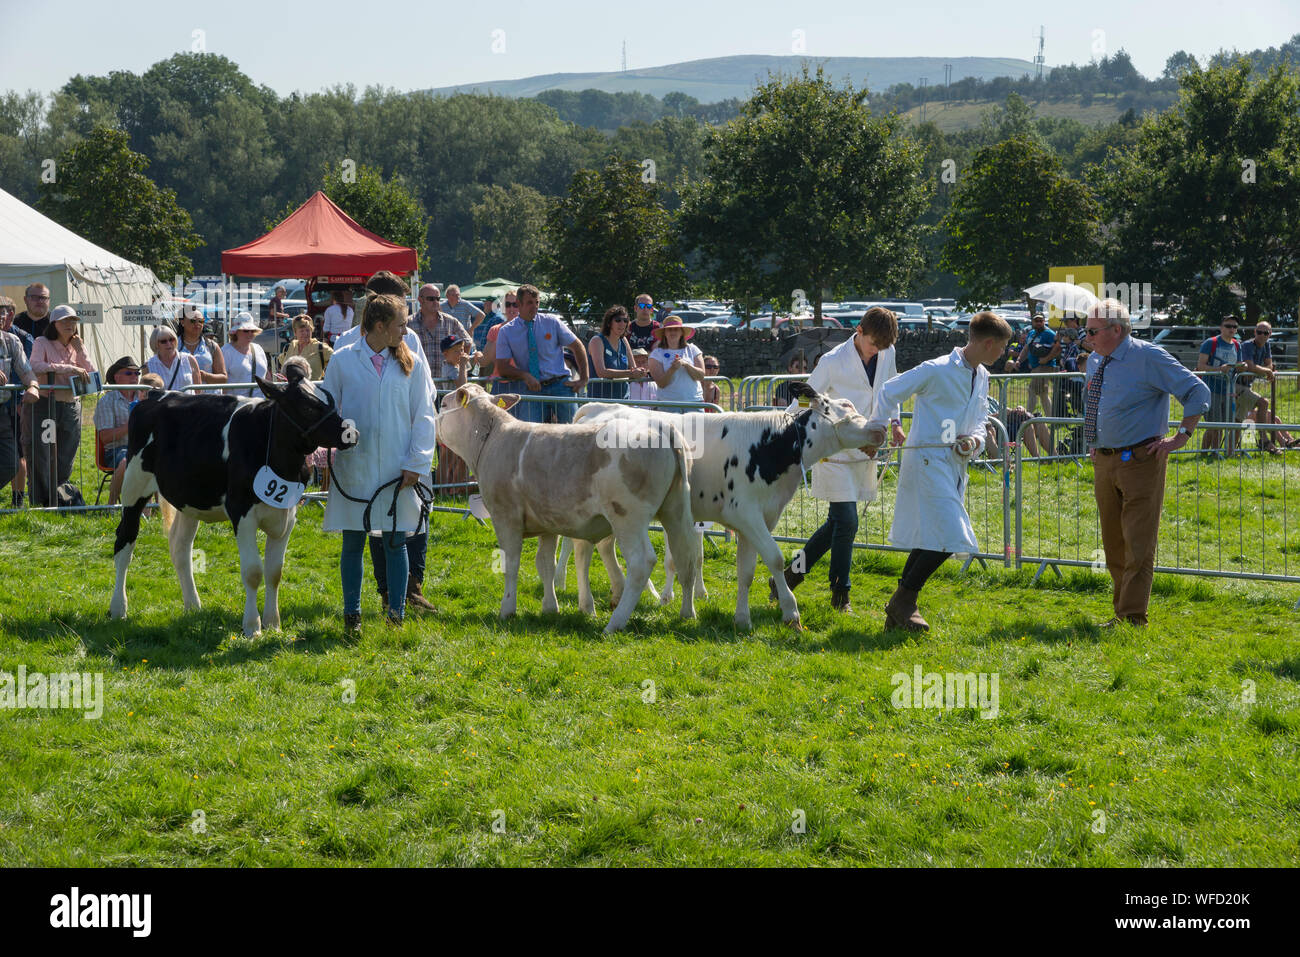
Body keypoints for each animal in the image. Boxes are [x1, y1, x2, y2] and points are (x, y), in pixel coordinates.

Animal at [109, 358, 356, 634]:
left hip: (189, 498)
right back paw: (118, 609)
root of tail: (156, 395)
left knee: (180, 548)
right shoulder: (242, 513)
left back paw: (193, 606)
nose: (351, 434)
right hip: (134, 485)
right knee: (124, 543)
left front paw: (273, 624)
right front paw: (252, 627)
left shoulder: (288, 514)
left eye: (330, 399)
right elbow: (253, 572)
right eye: (306, 406)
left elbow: (274, 572)